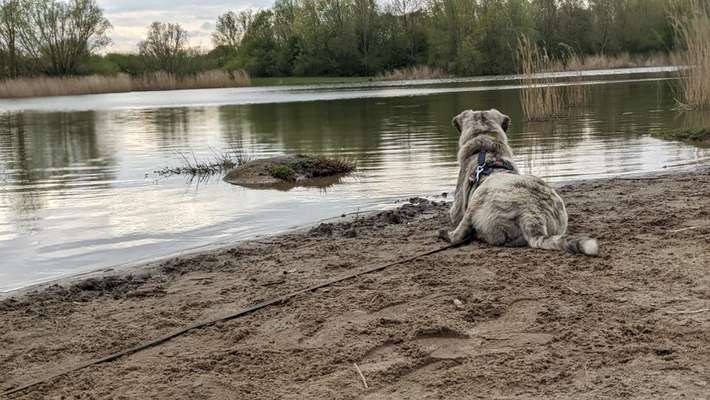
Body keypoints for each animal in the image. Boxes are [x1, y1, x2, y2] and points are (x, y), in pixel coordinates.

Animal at [440, 108, 600, 256]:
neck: (485, 146)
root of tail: (532, 215)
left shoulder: (457, 208)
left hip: (477, 200)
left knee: (460, 233)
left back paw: (447, 234)